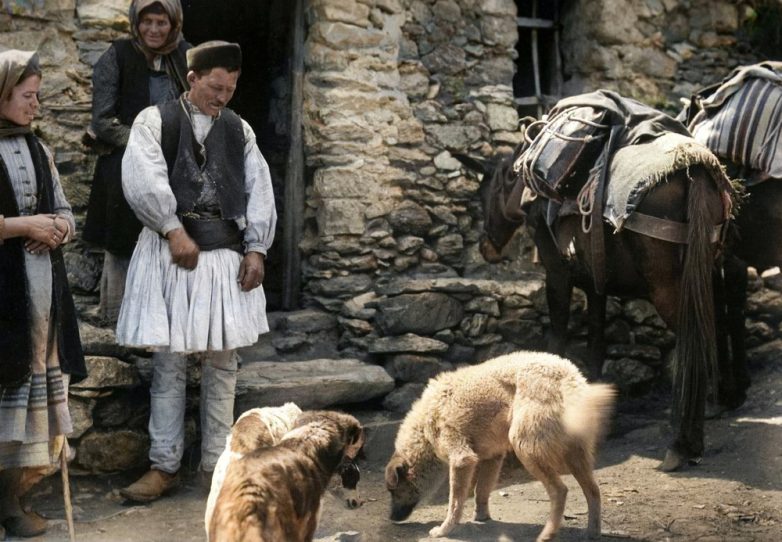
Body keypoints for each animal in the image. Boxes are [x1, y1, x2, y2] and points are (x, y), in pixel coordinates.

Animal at [386, 350, 620, 540]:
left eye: (393, 491)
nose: (390, 518)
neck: (424, 427)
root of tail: (568, 377)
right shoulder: (492, 457)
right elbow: (481, 490)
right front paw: (481, 517)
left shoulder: (462, 459)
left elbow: (455, 502)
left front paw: (445, 530)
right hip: (576, 456)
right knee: (594, 492)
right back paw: (592, 533)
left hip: (526, 448)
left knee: (560, 491)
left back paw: (548, 534)